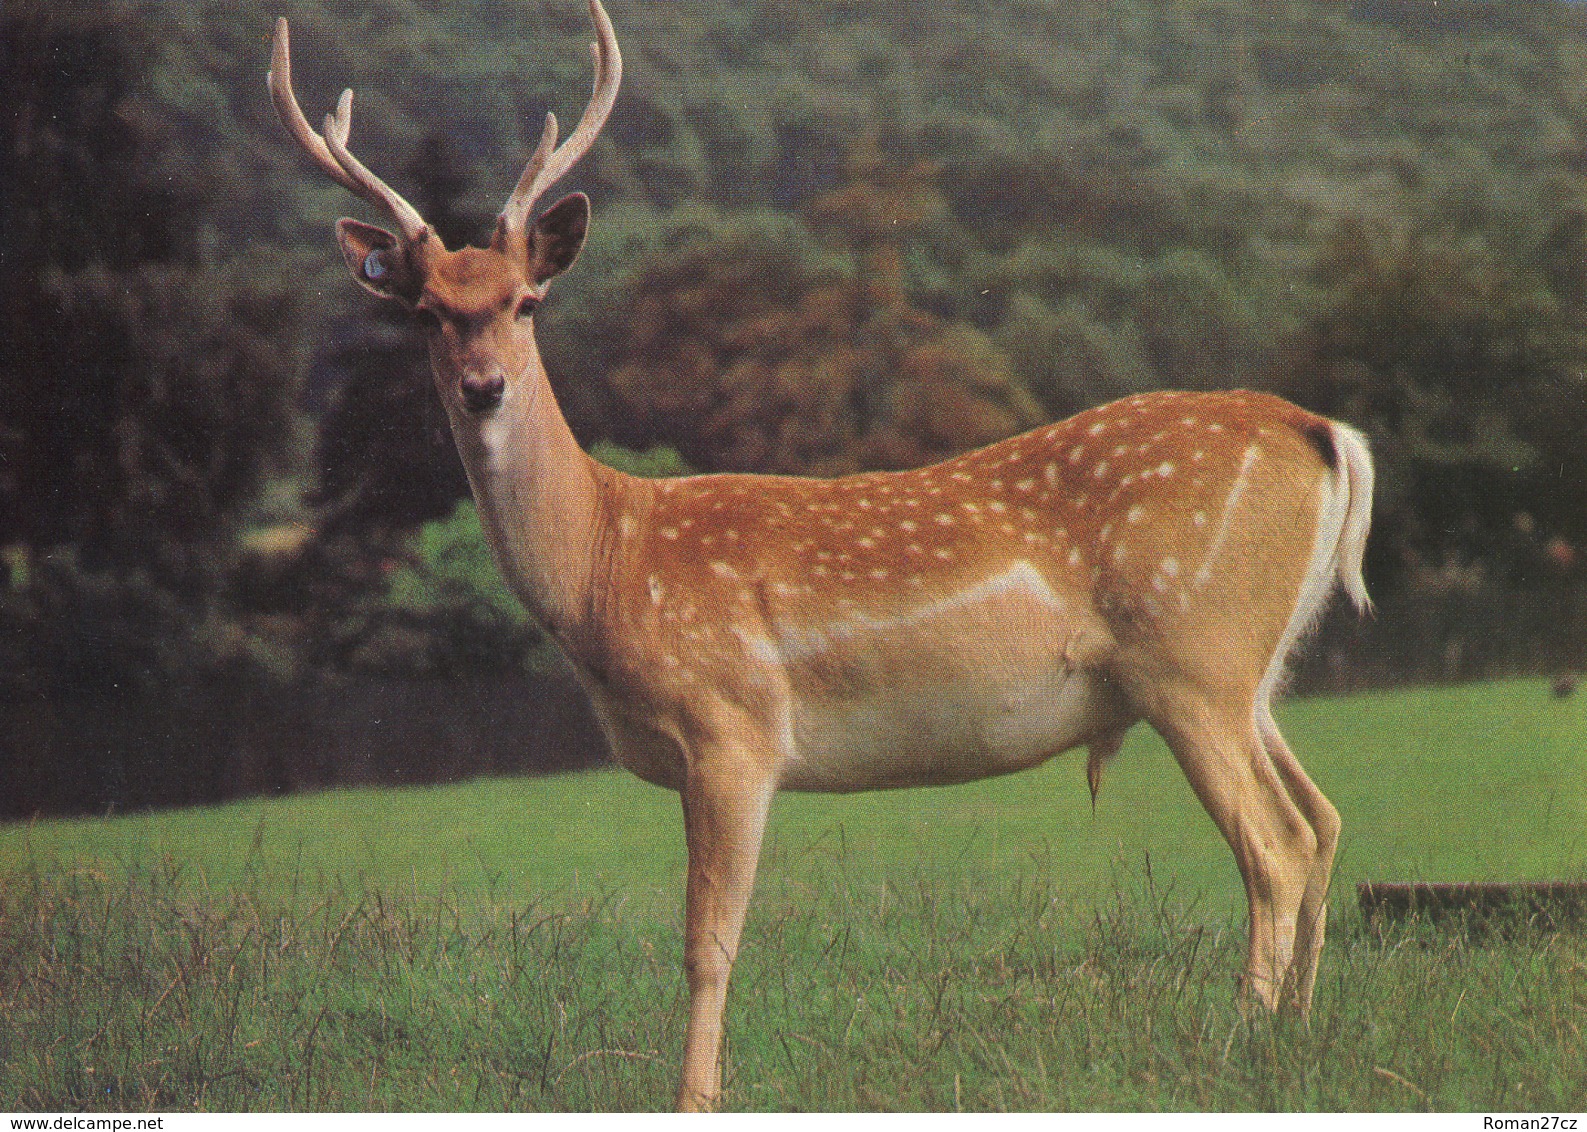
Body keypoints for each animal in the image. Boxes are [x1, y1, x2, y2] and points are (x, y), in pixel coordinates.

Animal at [266, 0, 1371, 1111]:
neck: (607, 561)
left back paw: (1238, 1043)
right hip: (1248, 669)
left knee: (1274, 845)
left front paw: (694, 1098)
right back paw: (1299, 1029)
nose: (485, 386)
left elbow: (708, 942)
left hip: (1191, 653)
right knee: (1322, 819)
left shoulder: (731, 724)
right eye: (426, 311)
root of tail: (1323, 432)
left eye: (524, 302)